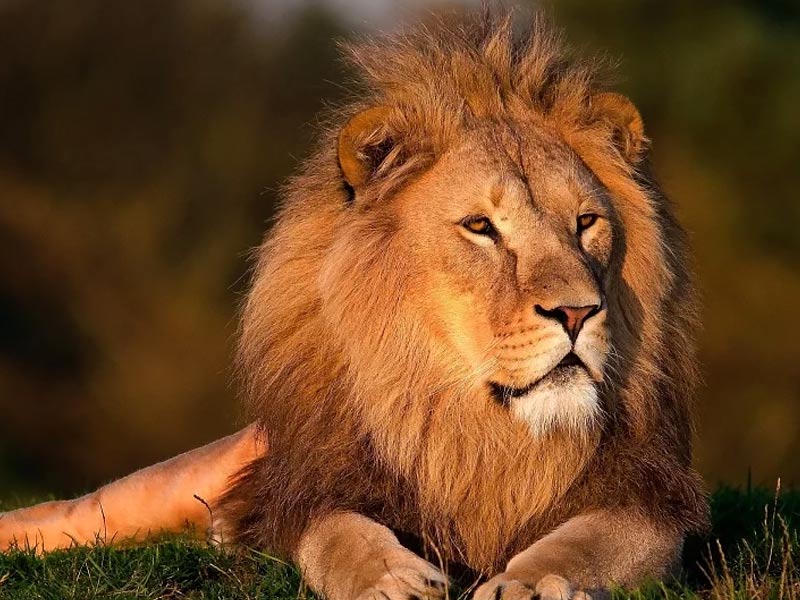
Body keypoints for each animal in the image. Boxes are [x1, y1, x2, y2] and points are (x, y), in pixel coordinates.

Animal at [0, 13, 707, 600]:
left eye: (586, 222)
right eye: (481, 227)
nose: (577, 313)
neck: (478, 430)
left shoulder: (647, 499)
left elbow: (589, 542)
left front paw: (530, 584)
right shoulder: (315, 489)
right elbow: (338, 534)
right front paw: (391, 579)